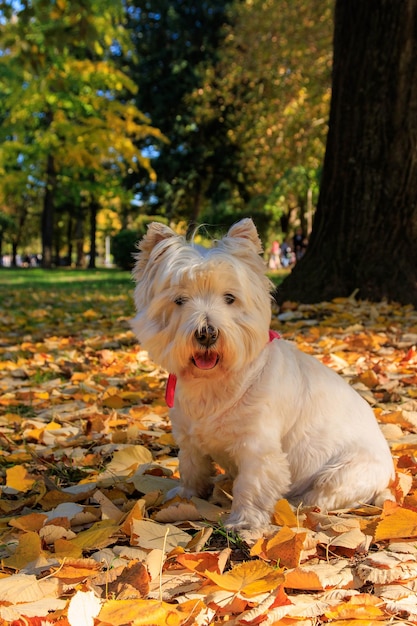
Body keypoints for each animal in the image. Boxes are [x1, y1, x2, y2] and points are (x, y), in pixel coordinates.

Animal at [132, 217, 394, 528]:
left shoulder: (258, 447)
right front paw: (185, 496)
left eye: (230, 298)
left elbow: (252, 485)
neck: (215, 383)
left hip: (344, 472)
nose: (207, 333)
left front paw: (244, 523)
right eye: (180, 300)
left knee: (322, 497)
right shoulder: (188, 436)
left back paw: (293, 504)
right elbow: (192, 467)